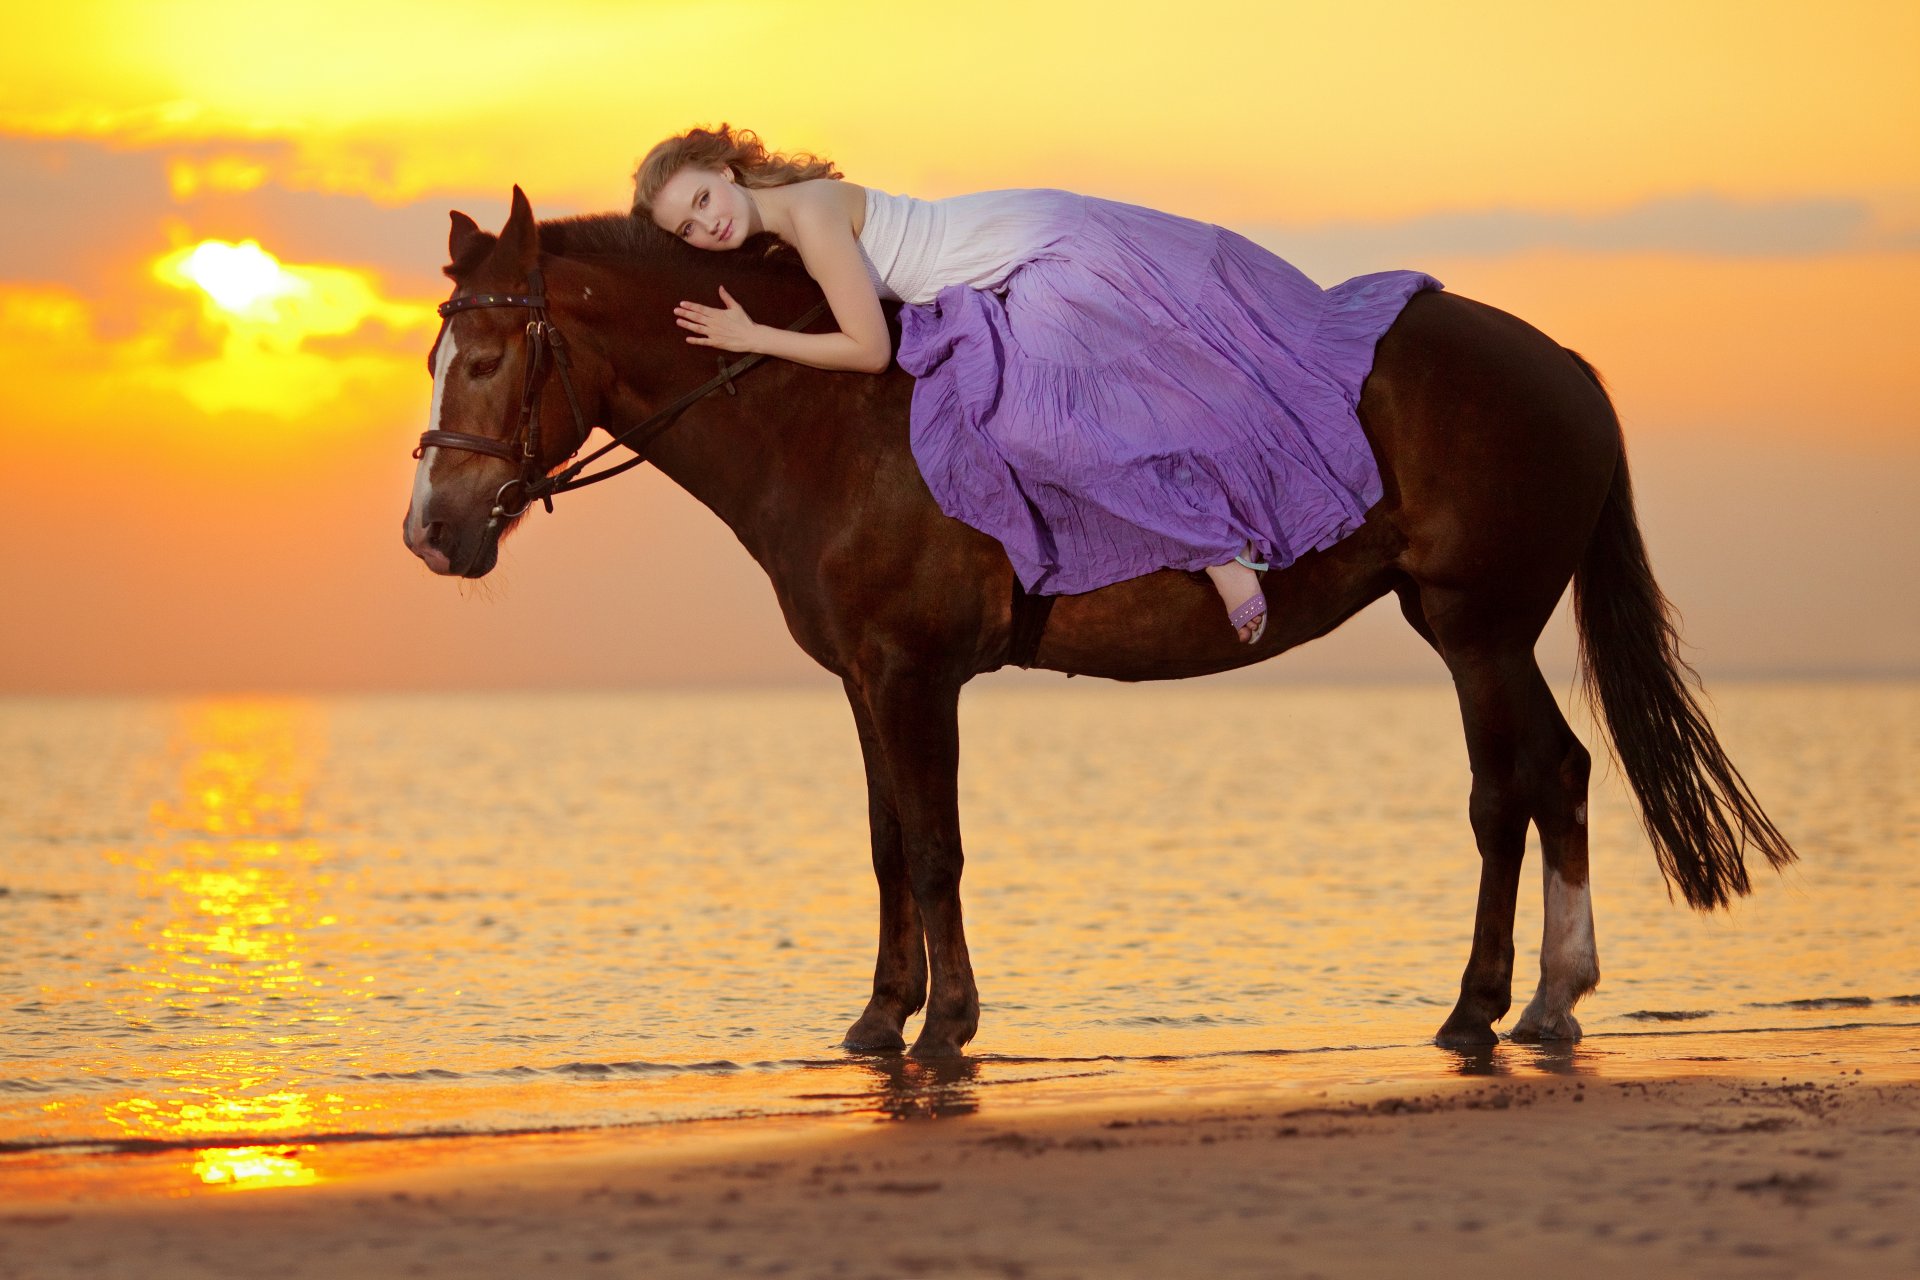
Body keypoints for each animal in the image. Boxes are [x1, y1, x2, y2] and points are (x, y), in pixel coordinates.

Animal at [402, 187, 1795, 1058]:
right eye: (436, 353)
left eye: (489, 356)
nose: (430, 530)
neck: (830, 414)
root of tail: (1566, 366)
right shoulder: (864, 678)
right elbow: (887, 848)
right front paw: (879, 1020)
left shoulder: (916, 674)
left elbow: (936, 849)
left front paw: (947, 1025)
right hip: (1477, 630)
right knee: (1549, 775)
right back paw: (1537, 1000)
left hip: (1477, 629)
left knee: (1513, 789)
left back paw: (1490, 1003)